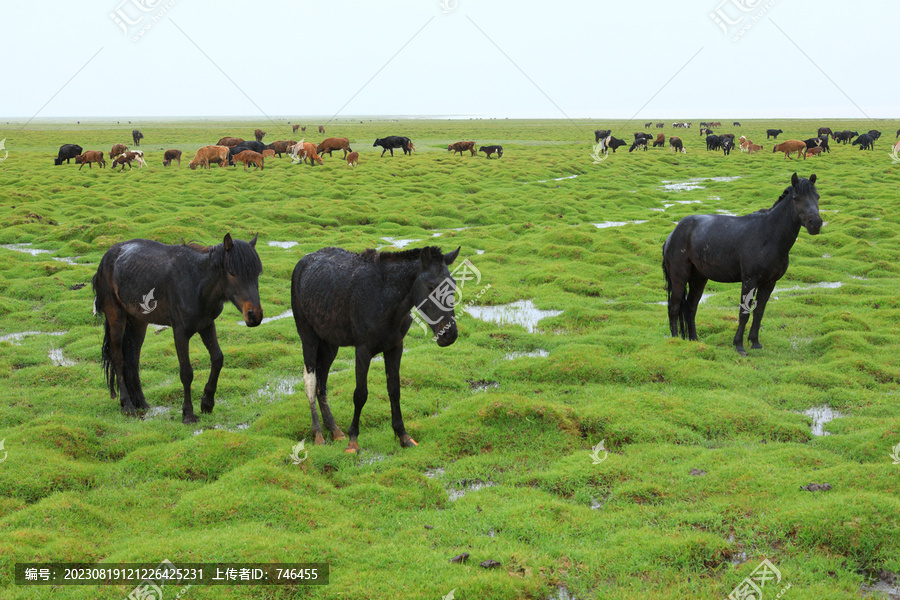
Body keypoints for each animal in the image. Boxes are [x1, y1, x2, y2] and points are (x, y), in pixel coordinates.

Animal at [92, 234, 264, 422]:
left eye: (257, 273)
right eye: (232, 273)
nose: (254, 316)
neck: (196, 283)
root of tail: (106, 258)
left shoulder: (207, 325)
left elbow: (218, 359)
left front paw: (207, 403)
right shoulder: (180, 332)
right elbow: (186, 372)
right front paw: (188, 413)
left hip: (138, 321)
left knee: (133, 359)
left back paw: (141, 403)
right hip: (116, 315)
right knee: (118, 357)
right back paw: (127, 405)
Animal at [292, 246, 460, 452]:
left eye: (453, 285)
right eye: (430, 286)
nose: (449, 335)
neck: (383, 299)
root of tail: (303, 262)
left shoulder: (395, 347)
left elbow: (394, 390)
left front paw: (403, 435)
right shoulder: (363, 350)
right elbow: (360, 394)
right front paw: (353, 441)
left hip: (330, 343)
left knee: (322, 382)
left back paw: (335, 430)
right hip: (308, 337)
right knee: (311, 381)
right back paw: (318, 434)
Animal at [660, 173, 824, 354]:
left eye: (817, 197)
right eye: (796, 198)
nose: (815, 223)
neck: (768, 235)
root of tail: (673, 234)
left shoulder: (769, 283)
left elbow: (759, 312)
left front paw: (755, 342)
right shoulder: (749, 281)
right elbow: (744, 313)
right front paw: (739, 345)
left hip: (699, 278)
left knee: (690, 307)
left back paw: (695, 340)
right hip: (679, 277)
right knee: (674, 307)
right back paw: (676, 340)